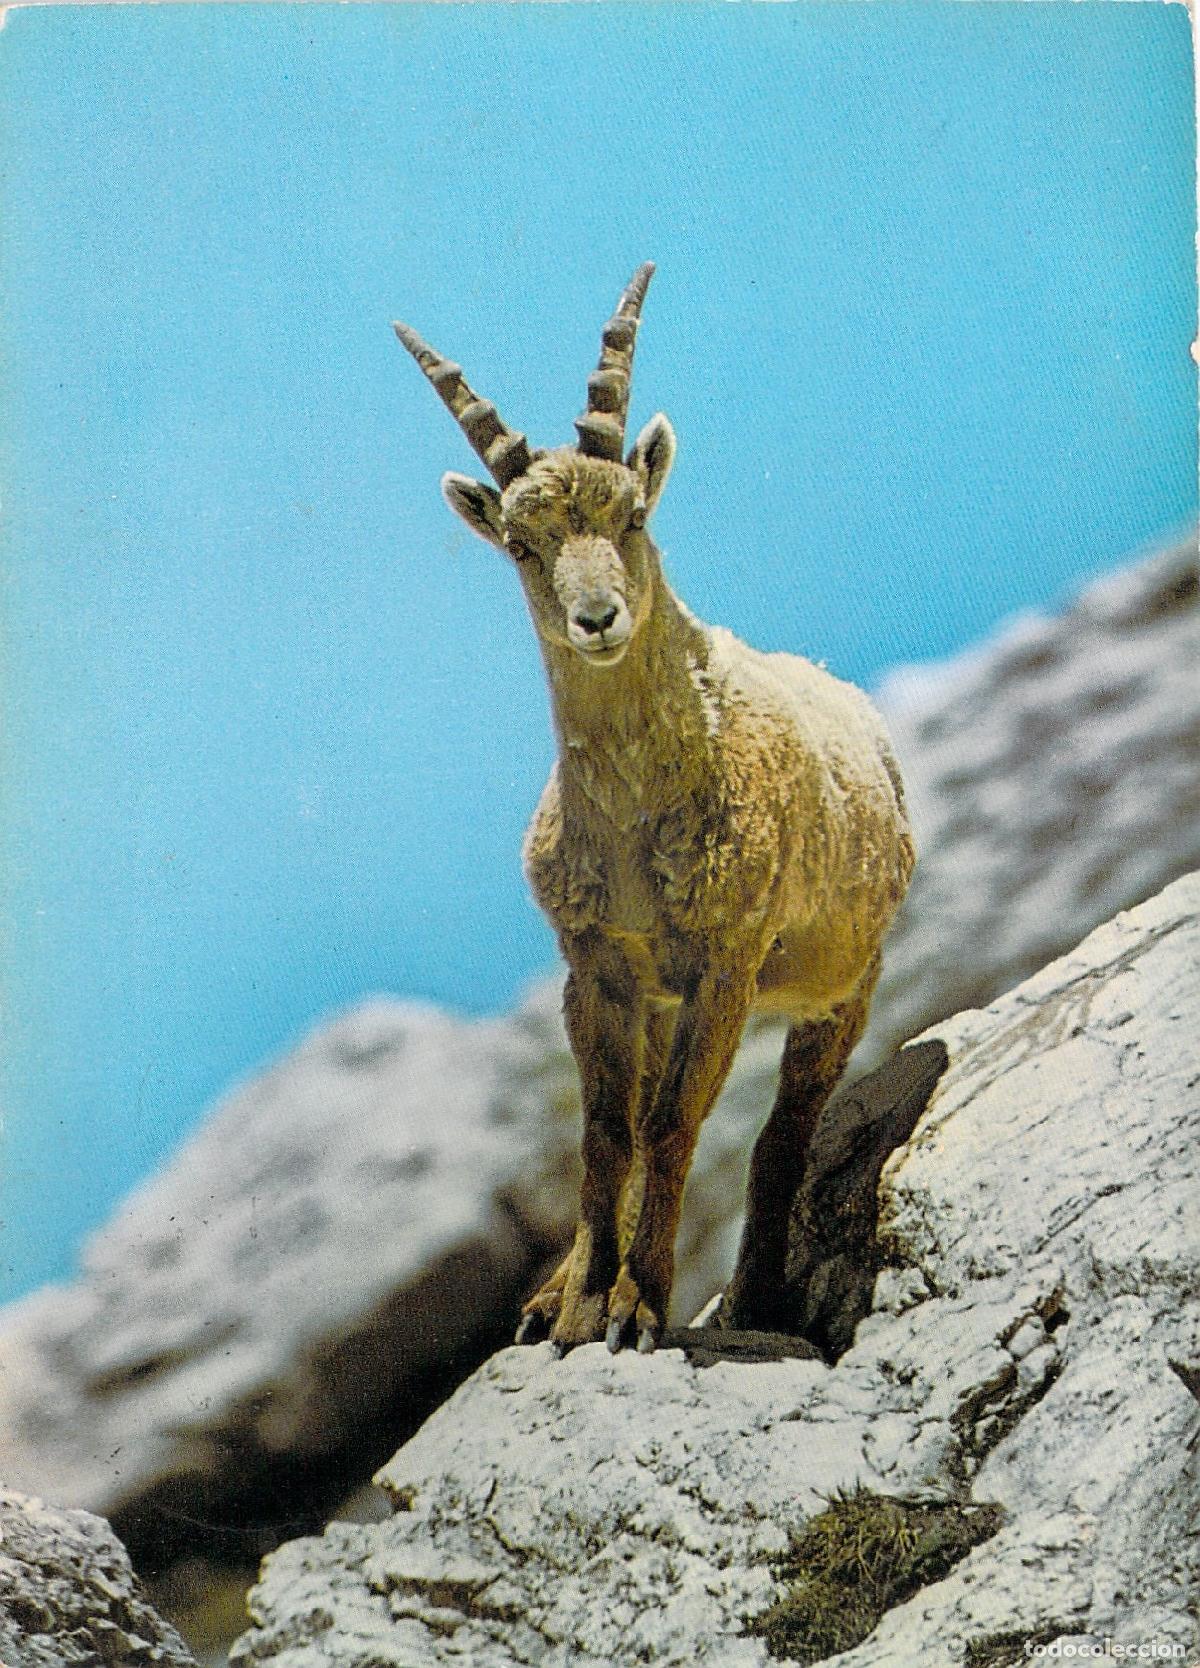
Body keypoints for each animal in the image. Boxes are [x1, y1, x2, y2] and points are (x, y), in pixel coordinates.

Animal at [393, 262, 914, 1355]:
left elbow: (672, 1125)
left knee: (779, 1136)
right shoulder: (596, 964)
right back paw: (556, 1294)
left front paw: (636, 1307)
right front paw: (576, 1306)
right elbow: (604, 1132)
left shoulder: (724, 956)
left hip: (840, 984)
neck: (637, 833)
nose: (598, 619)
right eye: (520, 543)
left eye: (632, 514)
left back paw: (754, 1297)